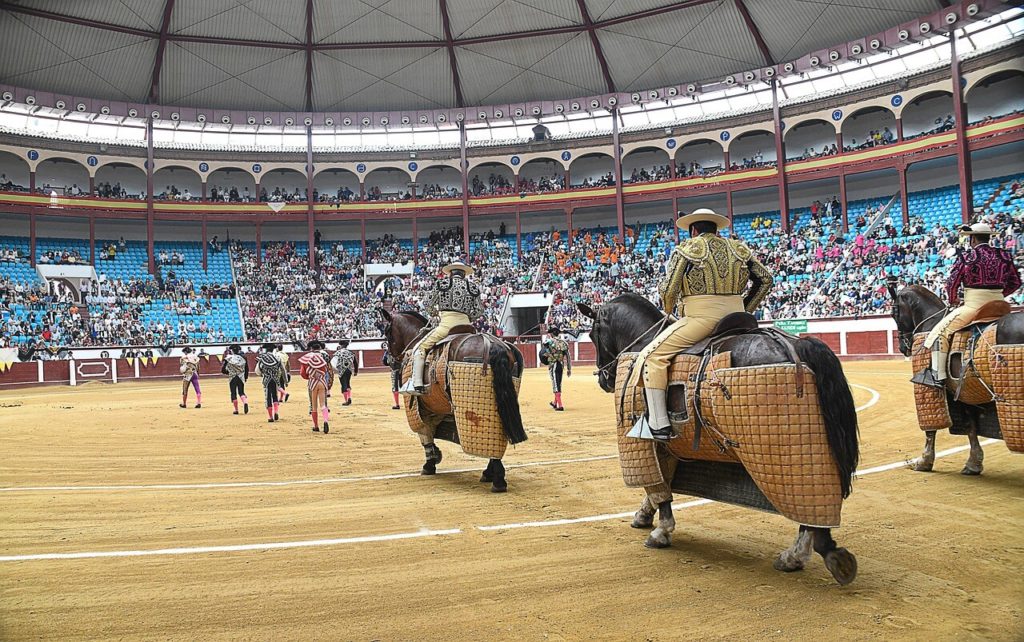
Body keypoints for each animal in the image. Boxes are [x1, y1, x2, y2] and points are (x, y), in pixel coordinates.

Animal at [581, 294, 860, 585]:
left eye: (591, 334)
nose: (604, 379)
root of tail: (796, 344)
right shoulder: (671, 445)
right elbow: (662, 481)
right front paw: (644, 516)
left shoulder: (645, 441)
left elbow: (657, 486)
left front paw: (661, 531)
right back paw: (824, 555)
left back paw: (802, 555)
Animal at [884, 284, 1019, 475]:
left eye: (893, 313)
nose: (904, 348)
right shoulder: (966, 390)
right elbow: (971, 425)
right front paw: (973, 463)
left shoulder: (928, 387)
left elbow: (931, 430)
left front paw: (924, 461)